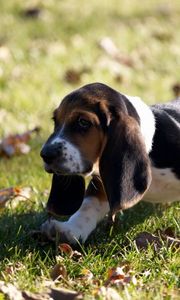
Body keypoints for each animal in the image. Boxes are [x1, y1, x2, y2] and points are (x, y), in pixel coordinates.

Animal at [39, 82, 180, 244]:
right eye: (55, 121)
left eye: (83, 122)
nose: (45, 154)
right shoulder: (102, 181)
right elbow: (88, 205)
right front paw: (69, 230)